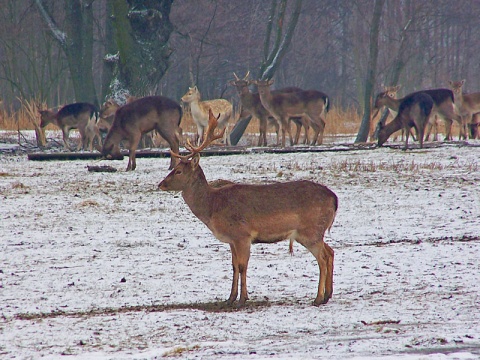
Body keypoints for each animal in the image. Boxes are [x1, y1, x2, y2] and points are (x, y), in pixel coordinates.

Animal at [158, 109, 338, 306]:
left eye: (178, 171)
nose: (160, 184)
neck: (212, 206)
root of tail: (334, 199)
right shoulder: (231, 239)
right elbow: (234, 266)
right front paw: (230, 298)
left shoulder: (242, 235)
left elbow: (243, 266)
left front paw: (243, 298)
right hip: (313, 232)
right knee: (330, 251)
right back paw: (328, 294)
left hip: (310, 230)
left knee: (322, 258)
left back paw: (318, 298)